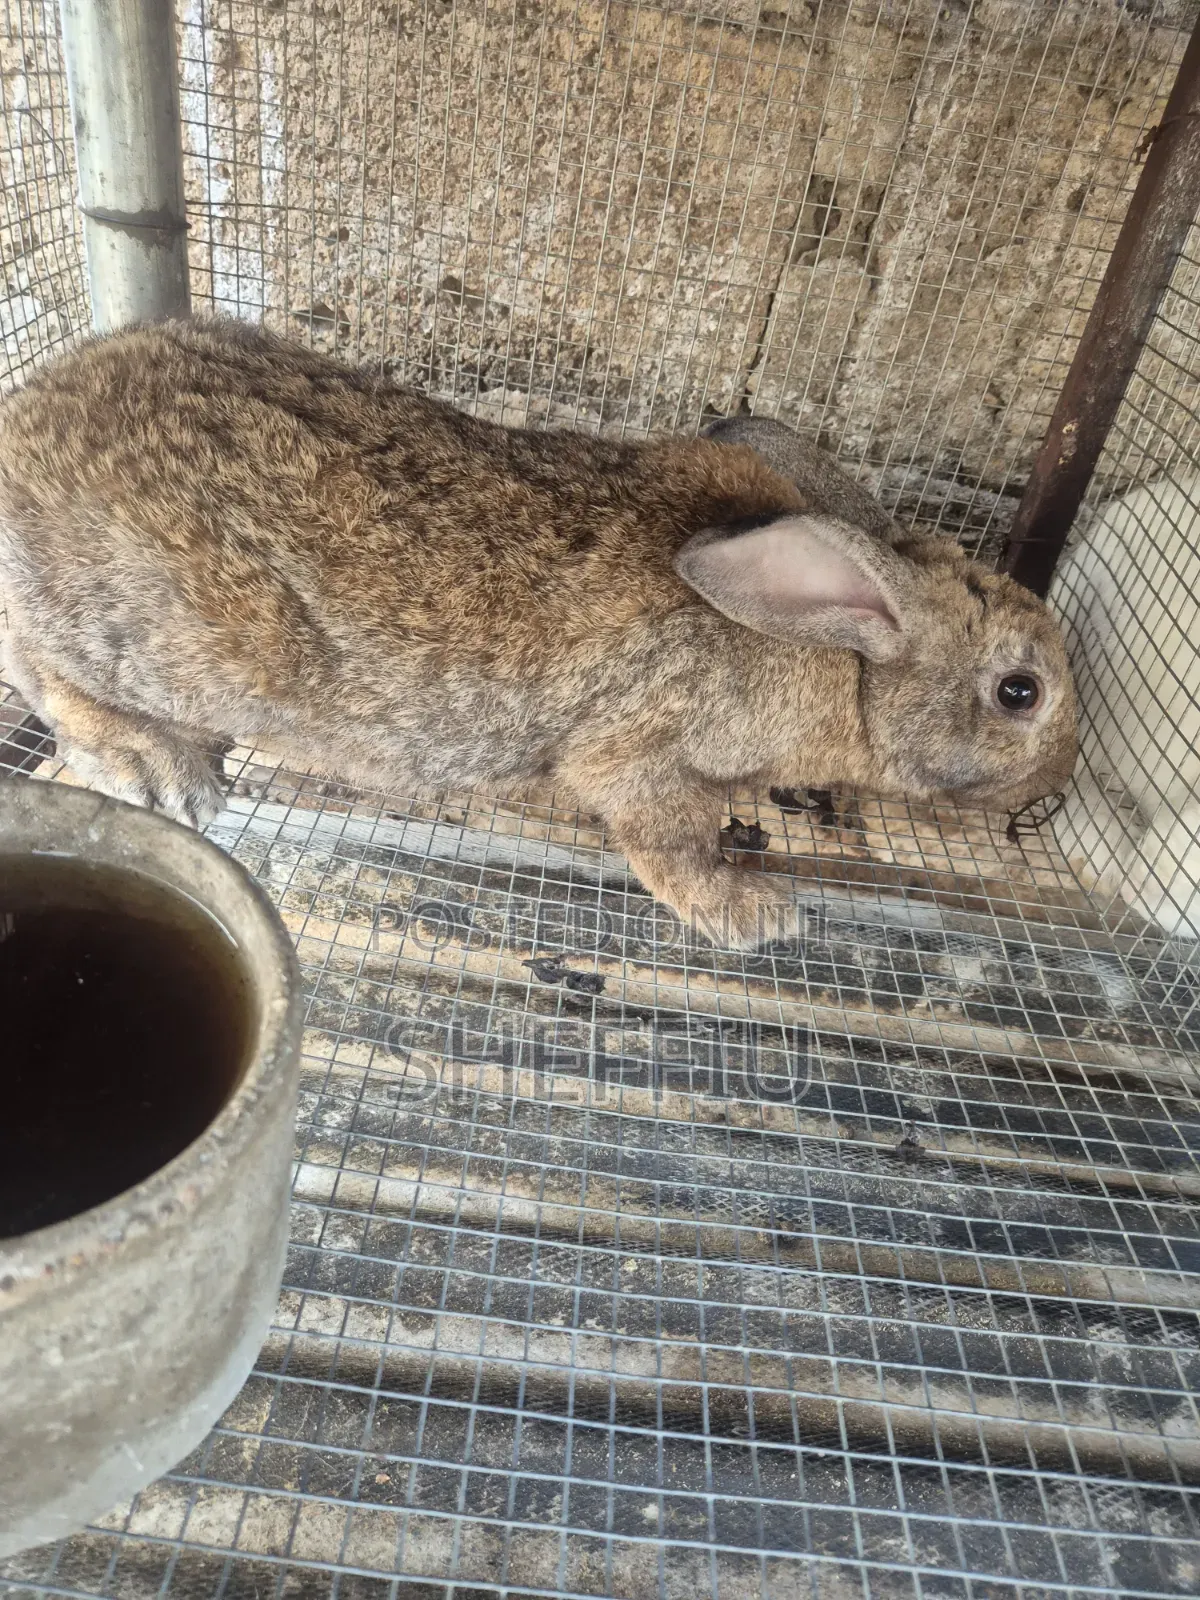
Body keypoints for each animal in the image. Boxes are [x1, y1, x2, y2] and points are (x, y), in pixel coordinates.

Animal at [0, 316, 1077, 949]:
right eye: (1019, 692)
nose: (1057, 777)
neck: (847, 668)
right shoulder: (643, 754)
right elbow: (666, 837)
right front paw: (755, 914)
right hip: (157, 640)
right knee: (47, 672)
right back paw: (159, 769)